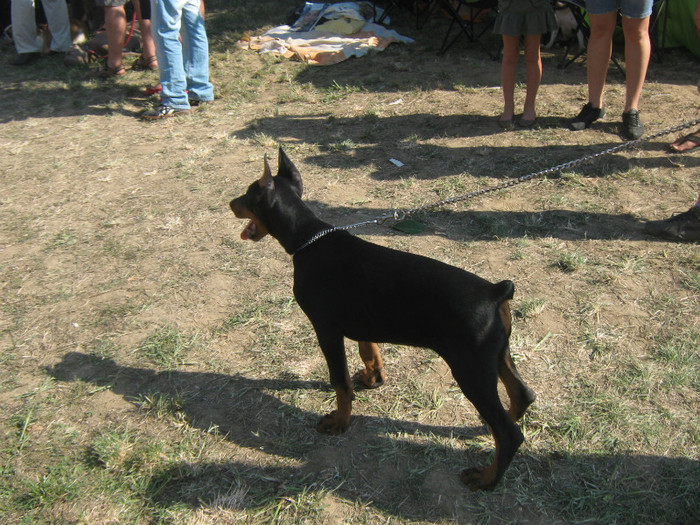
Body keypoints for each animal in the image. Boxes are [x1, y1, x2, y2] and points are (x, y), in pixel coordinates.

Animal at [230, 148, 536, 492]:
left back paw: (486, 478)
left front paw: (340, 421)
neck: (309, 238)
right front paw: (373, 377)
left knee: (509, 434)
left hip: (470, 368)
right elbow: (369, 350)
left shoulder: (326, 329)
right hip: (496, 355)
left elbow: (340, 382)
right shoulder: (363, 318)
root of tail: (496, 292)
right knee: (522, 396)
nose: (229, 203)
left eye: (247, 194)